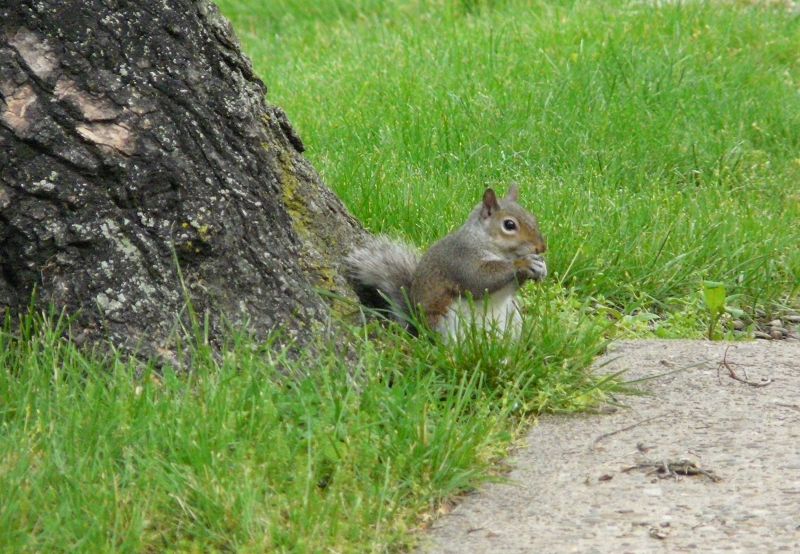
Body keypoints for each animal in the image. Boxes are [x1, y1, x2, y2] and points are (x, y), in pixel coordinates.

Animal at [340, 183, 548, 338]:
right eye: (509, 225)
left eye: (533, 218)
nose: (542, 248)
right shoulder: (460, 259)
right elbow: (480, 280)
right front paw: (524, 263)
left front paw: (540, 267)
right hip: (449, 324)